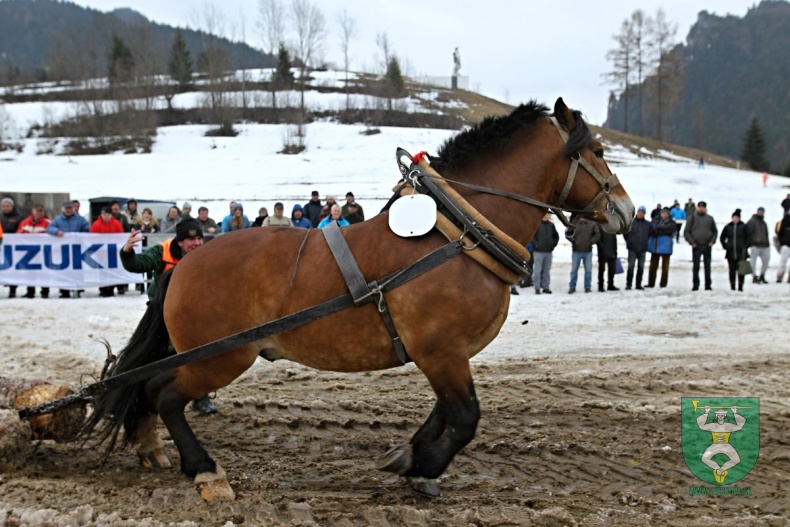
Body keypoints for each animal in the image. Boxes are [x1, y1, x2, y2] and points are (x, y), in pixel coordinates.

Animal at [82, 98, 636, 500]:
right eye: (599, 150)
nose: (627, 211)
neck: (460, 234)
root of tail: (183, 264)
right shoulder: (441, 350)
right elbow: (464, 417)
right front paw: (425, 467)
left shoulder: (443, 353)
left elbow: (444, 413)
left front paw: (411, 458)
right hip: (221, 356)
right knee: (163, 393)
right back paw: (203, 469)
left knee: (147, 388)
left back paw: (150, 449)